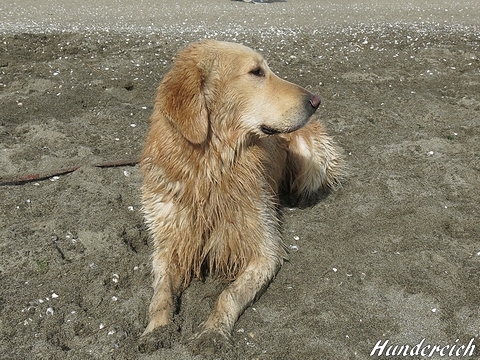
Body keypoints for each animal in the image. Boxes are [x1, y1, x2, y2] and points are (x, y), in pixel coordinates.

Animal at [138, 40, 342, 354]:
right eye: (256, 71)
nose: (316, 100)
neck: (211, 169)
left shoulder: (265, 250)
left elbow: (228, 295)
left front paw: (213, 332)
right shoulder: (168, 242)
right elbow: (160, 295)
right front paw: (157, 329)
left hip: (311, 153)